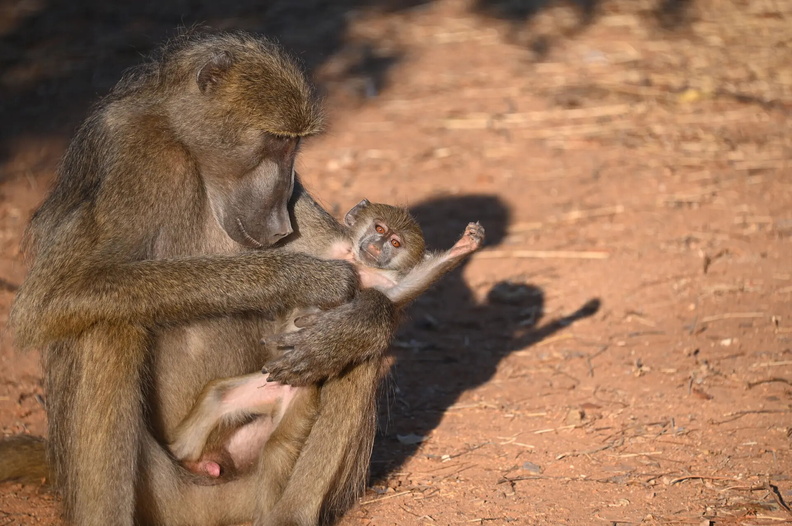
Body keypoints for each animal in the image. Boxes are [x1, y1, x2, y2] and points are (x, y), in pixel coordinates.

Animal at [1, 31, 403, 526]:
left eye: (295, 146)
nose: (280, 218)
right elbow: (46, 302)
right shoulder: (126, 151)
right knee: (107, 324)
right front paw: (302, 276)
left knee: (361, 343)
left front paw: (341, 331)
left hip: (254, 478)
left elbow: (367, 285)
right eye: (274, 141)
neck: (190, 153)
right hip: (158, 488)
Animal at [168, 200, 485, 481]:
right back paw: (185, 460)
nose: (377, 245)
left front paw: (462, 247)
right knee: (217, 397)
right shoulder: (330, 248)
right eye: (379, 228)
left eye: (396, 243)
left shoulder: (388, 281)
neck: (360, 262)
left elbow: (397, 295)